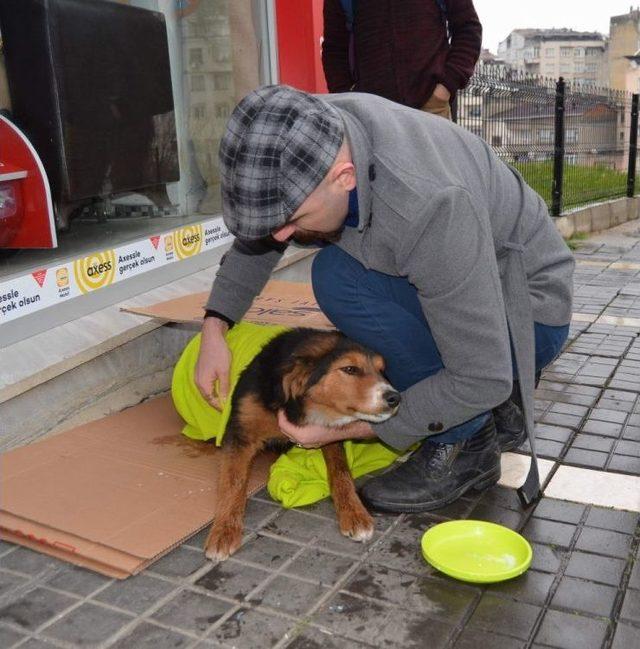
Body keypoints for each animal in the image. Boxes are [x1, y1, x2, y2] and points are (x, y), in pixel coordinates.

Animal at [205, 326, 400, 560]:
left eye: (381, 371)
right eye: (350, 369)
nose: (395, 398)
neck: (298, 405)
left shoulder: (327, 437)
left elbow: (341, 472)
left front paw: (354, 512)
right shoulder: (240, 434)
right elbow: (233, 482)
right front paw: (224, 531)